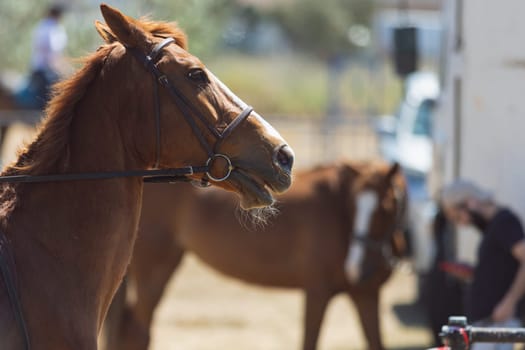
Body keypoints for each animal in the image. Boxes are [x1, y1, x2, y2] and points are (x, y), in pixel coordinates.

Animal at [106, 160, 408, 348]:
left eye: (385, 208)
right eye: (355, 204)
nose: (357, 268)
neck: (337, 210)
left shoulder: (366, 295)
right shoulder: (317, 292)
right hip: (153, 271)